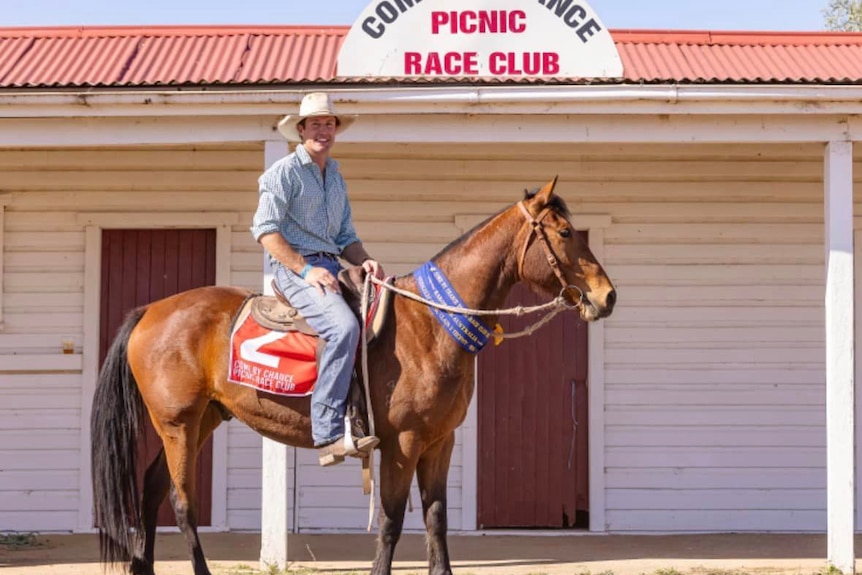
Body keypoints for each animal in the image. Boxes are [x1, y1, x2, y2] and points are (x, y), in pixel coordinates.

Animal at [89, 177, 616, 575]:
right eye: (564, 233)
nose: (606, 296)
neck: (431, 325)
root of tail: (152, 310)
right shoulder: (402, 443)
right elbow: (391, 522)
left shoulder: (439, 442)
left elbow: (436, 520)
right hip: (178, 423)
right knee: (181, 503)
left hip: (201, 421)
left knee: (152, 488)